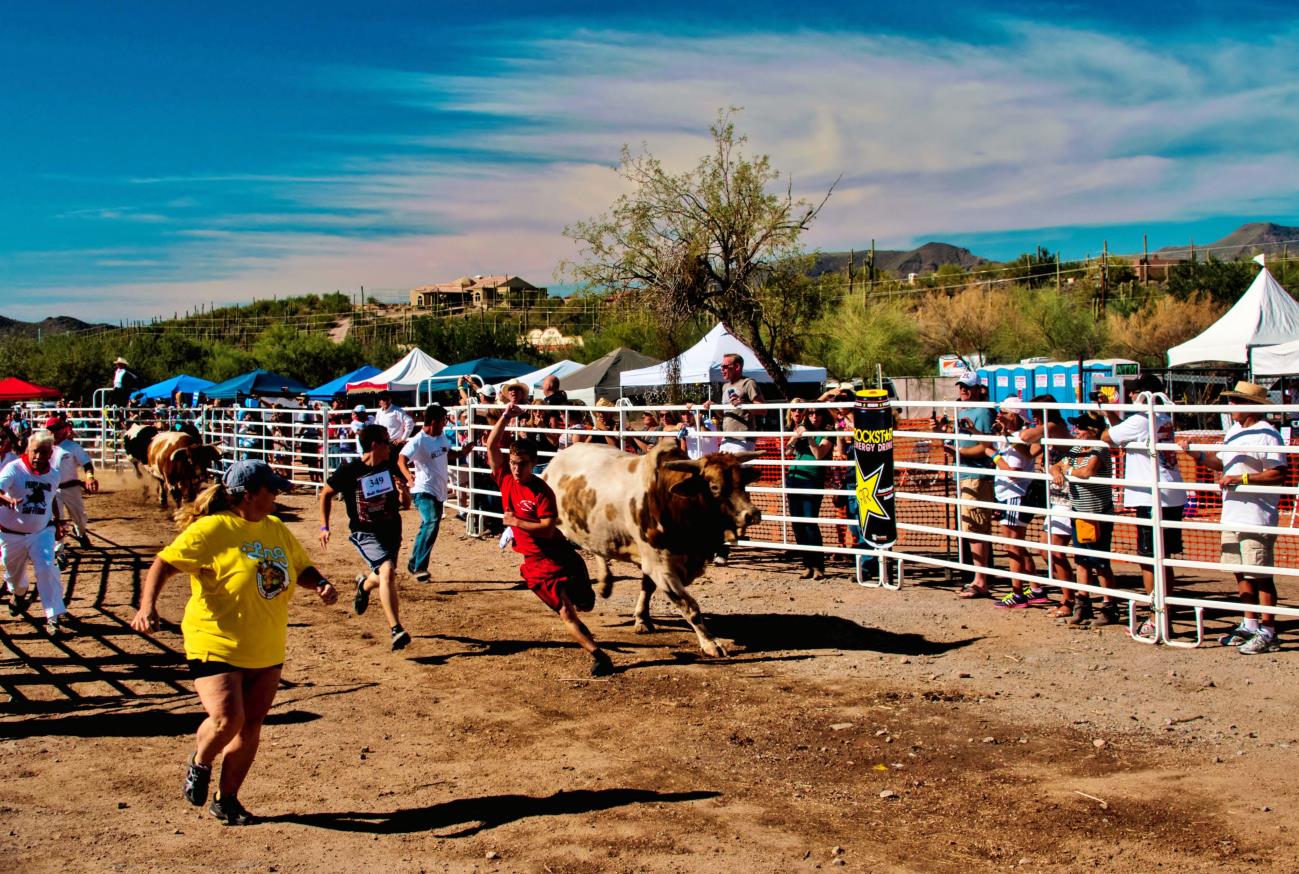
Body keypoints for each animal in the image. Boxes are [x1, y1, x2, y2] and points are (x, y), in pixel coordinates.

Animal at [545, 444, 763, 654]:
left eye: (742, 482)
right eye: (714, 487)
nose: (752, 514)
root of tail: (554, 462)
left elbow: (647, 587)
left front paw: (642, 619)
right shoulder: (660, 567)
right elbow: (689, 606)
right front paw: (710, 643)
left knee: (597, 549)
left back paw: (605, 583)